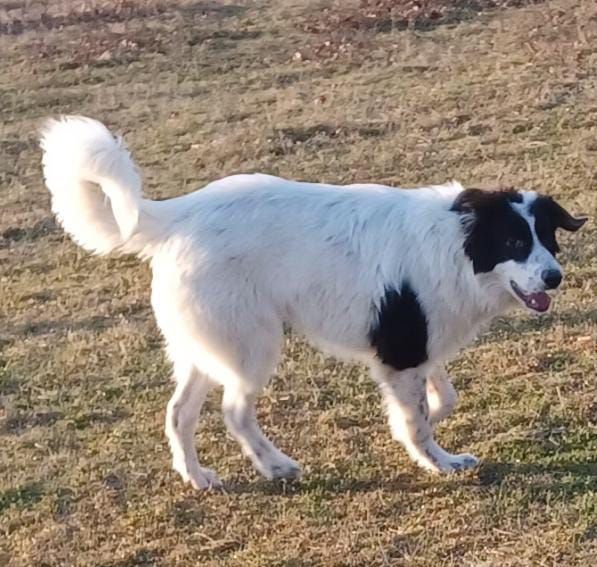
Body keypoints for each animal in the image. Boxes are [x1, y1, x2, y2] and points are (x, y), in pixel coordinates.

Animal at [39, 115, 584, 488]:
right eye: (514, 242)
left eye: (548, 239)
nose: (554, 278)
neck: (457, 244)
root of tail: (179, 214)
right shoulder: (402, 349)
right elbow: (418, 423)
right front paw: (438, 460)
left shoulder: (418, 346)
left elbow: (441, 398)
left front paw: (428, 418)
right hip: (253, 346)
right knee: (235, 411)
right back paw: (276, 465)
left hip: (207, 347)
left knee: (178, 413)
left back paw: (198, 478)